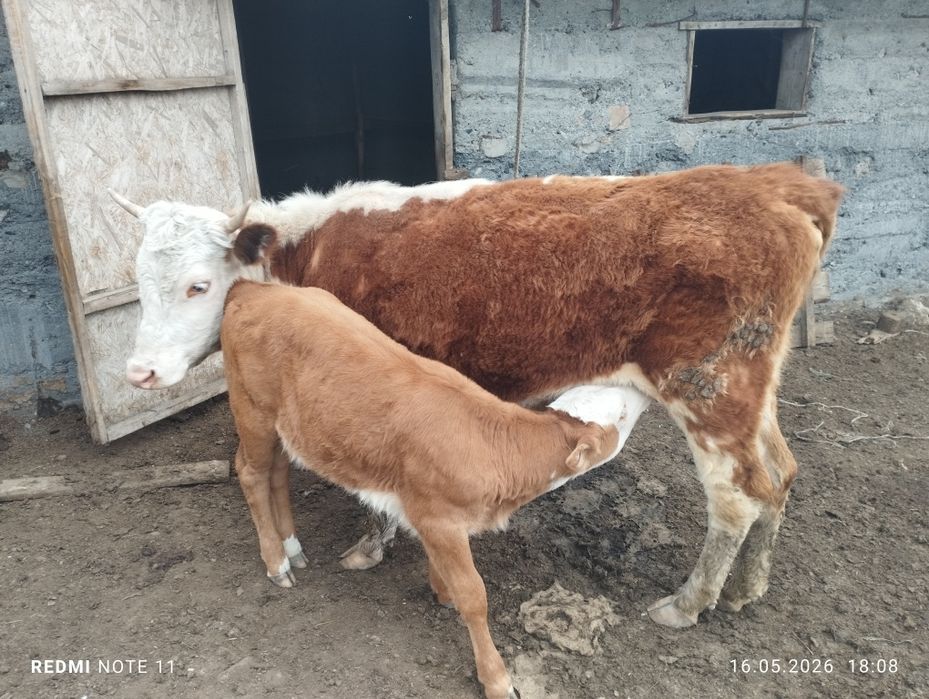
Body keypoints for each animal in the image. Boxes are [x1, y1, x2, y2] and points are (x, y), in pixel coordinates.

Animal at [110, 161, 844, 629]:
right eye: (139, 281)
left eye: (199, 284)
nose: (139, 373)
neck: (312, 251)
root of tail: (778, 182)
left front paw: (371, 544)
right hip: (751, 390)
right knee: (779, 474)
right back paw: (747, 589)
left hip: (707, 387)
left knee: (736, 498)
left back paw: (688, 604)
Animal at [221, 275, 649, 698]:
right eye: (619, 413)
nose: (643, 391)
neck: (494, 447)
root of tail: (252, 288)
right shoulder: (438, 517)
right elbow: (475, 595)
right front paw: (496, 678)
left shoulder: (430, 517)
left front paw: (441, 591)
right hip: (252, 410)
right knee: (251, 472)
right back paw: (276, 562)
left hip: (285, 428)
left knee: (278, 473)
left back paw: (293, 548)